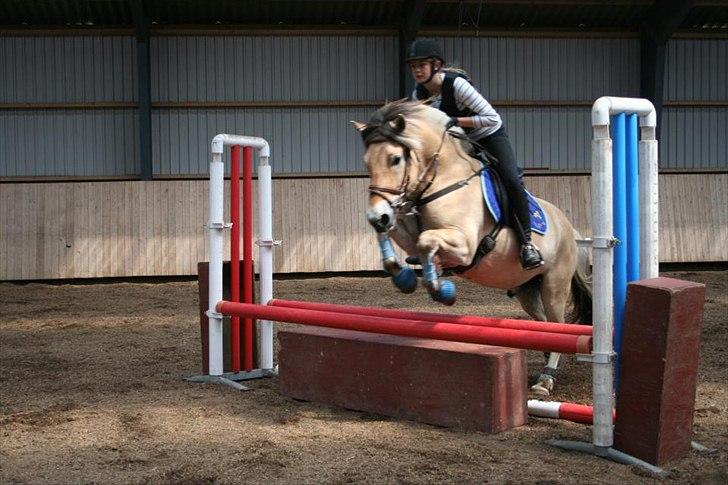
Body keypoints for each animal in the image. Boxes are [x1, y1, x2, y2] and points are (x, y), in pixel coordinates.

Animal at [352, 100, 592, 396]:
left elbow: (426, 241)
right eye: (367, 162)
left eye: (395, 159)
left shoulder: (465, 245)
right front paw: (405, 276)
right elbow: (398, 237)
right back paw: (546, 360)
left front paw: (440, 289)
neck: (443, 181)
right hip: (527, 290)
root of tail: (569, 228)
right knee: (545, 325)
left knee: (558, 323)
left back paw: (545, 380)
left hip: (554, 285)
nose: (376, 216)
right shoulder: (406, 229)